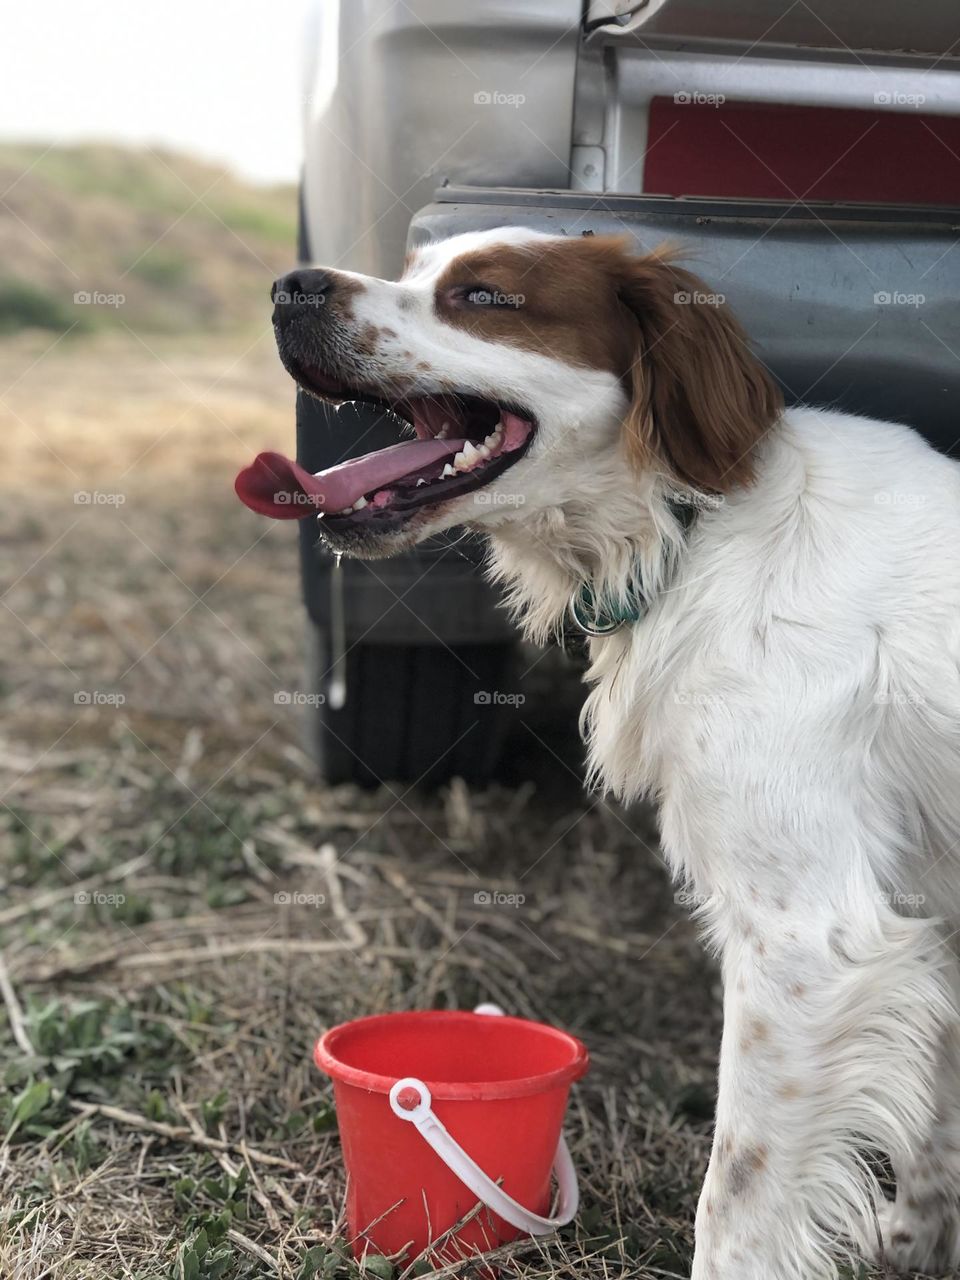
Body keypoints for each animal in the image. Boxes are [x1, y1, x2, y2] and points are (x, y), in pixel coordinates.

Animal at [239, 230, 960, 1280]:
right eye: (413, 268)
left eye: (484, 296)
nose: (290, 286)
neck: (692, 528)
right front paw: (920, 1241)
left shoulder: (807, 938)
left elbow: (737, 1199)